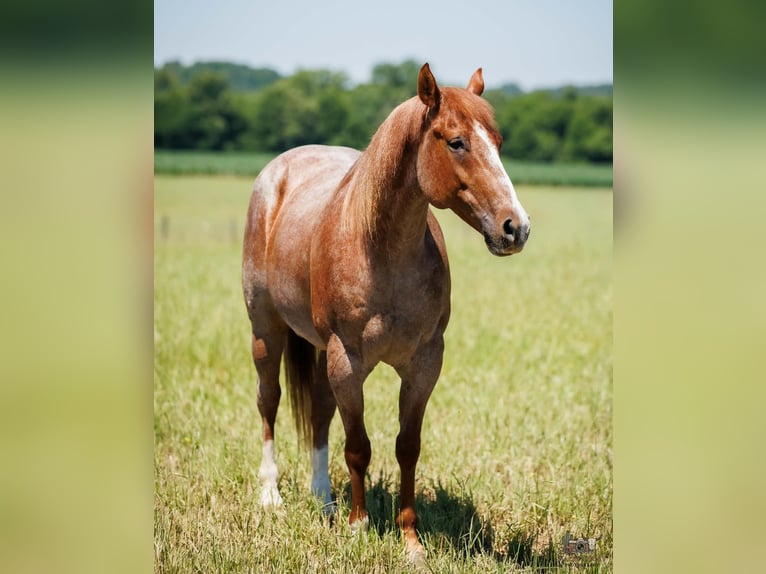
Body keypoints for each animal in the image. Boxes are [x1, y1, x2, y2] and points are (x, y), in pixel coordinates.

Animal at [242, 63, 530, 563]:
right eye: (456, 141)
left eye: (497, 141)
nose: (516, 227)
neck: (382, 251)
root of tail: (276, 172)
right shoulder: (348, 360)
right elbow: (358, 447)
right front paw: (359, 528)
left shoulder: (423, 364)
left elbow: (406, 447)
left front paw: (410, 539)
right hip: (266, 330)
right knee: (270, 401)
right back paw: (271, 495)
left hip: (321, 351)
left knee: (319, 411)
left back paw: (324, 499)